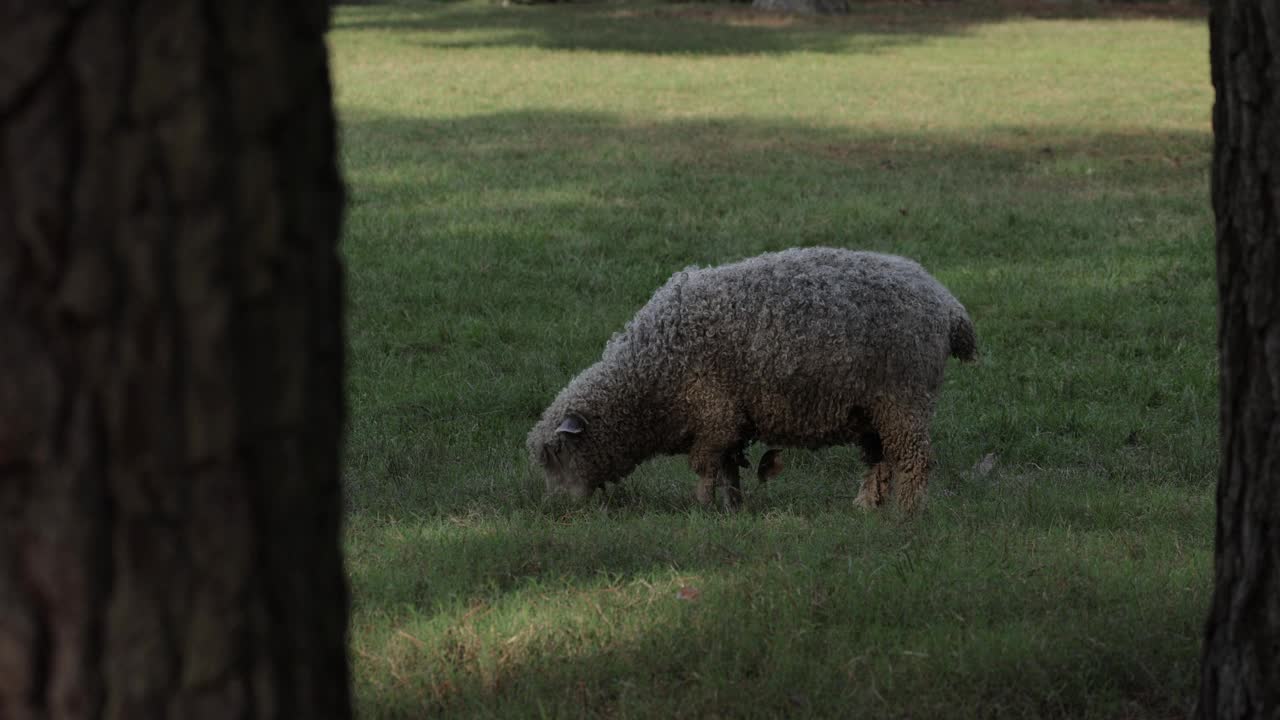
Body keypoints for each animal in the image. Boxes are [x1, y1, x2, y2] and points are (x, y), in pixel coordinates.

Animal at [524, 244, 972, 509]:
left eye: (555, 455)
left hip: (904, 396)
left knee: (915, 459)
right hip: (875, 407)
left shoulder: (713, 413)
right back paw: (866, 507)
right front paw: (732, 507)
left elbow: (706, 467)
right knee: (880, 459)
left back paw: (907, 514)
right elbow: (727, 467)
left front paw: (703, 507)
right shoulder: (727, 421)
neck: (648, 379)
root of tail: (948, 305)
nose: (555, 507)